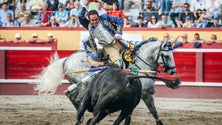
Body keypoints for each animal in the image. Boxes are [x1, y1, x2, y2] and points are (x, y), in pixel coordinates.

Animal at [35, 40, 180, 124]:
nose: (173, 70)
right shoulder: (146, 95)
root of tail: (67, 59)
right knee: (73, 96)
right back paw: (81, 116)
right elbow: (153, 112)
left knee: (71, 95)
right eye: (166, 55)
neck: (139, 66)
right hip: (84, 84)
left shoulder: (136, 100)